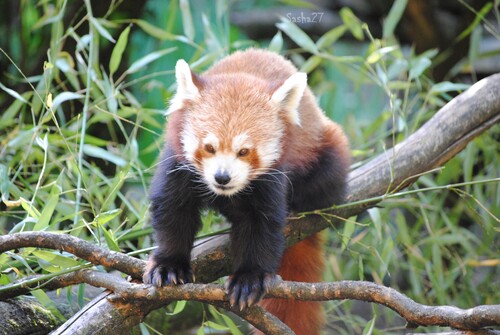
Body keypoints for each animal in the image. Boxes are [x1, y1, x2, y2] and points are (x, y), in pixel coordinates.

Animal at [143, 49, 350, 335]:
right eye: (209, 147)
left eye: (244, 151)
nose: (222, 177)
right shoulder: (178, 164)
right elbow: (173, 211)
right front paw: (169, 264)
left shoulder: (271, 177)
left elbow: (260, 226)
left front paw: (249, 279)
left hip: (325, 149)